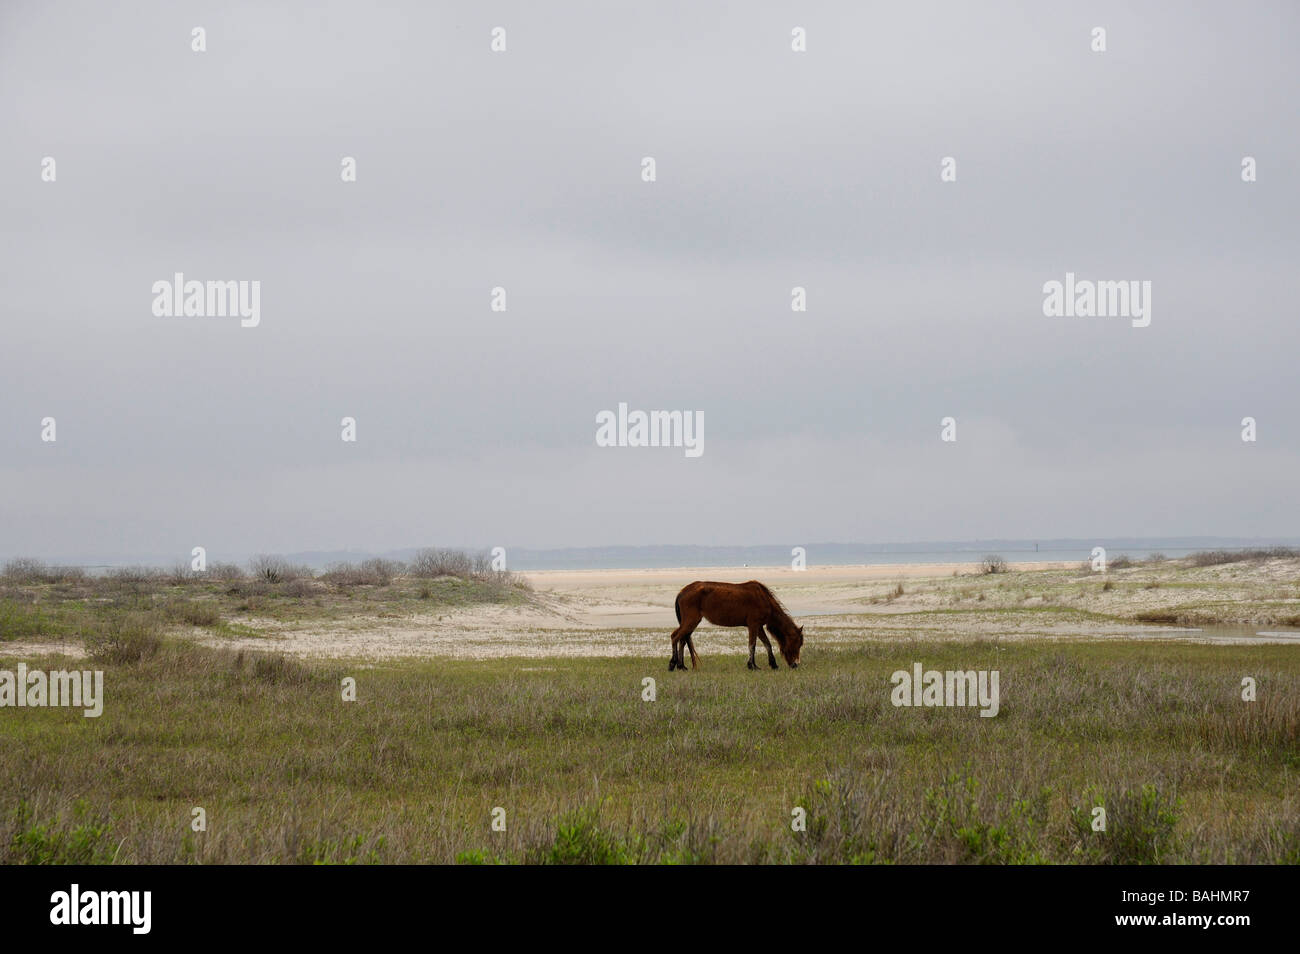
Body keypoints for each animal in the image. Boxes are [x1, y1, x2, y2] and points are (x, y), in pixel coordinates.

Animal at [670, 582, 800, 670]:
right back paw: (672, 664)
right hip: (691, 621)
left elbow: (767, 644)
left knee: (682, 640)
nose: (795, 665)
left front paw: (772, 664)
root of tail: (681, 592)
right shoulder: (753, 625)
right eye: (796, 644)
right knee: (675, 637)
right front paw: (752, 666)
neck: (763, 598)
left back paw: (681, 666)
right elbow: (752, 645)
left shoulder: (758, 627)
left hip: (690, 623)